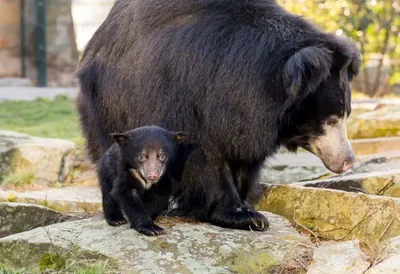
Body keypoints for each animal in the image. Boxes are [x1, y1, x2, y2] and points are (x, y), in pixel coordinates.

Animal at [76, 0, 360, 231]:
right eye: (330, 120)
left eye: (346, 115)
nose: (348, 162)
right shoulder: (185, 92)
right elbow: (203, 157)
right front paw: (241, 215)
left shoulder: (248, 119)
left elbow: (244, 156)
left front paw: (245, 205)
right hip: (108, 102)